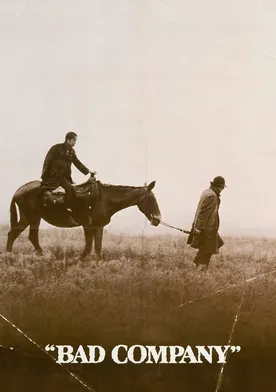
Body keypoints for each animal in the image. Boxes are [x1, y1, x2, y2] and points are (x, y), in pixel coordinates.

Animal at [5, 178, 162, 260]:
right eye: (152, 200)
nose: (157, 220)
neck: (103, 199)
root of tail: (19, 190)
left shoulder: (99, 226)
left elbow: (98, 247)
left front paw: (98, 264)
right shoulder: (88, 226)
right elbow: (88, 246)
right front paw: (79, 261)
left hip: (31, 218)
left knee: (21, 235)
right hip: (31, 217)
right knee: (21, 235)